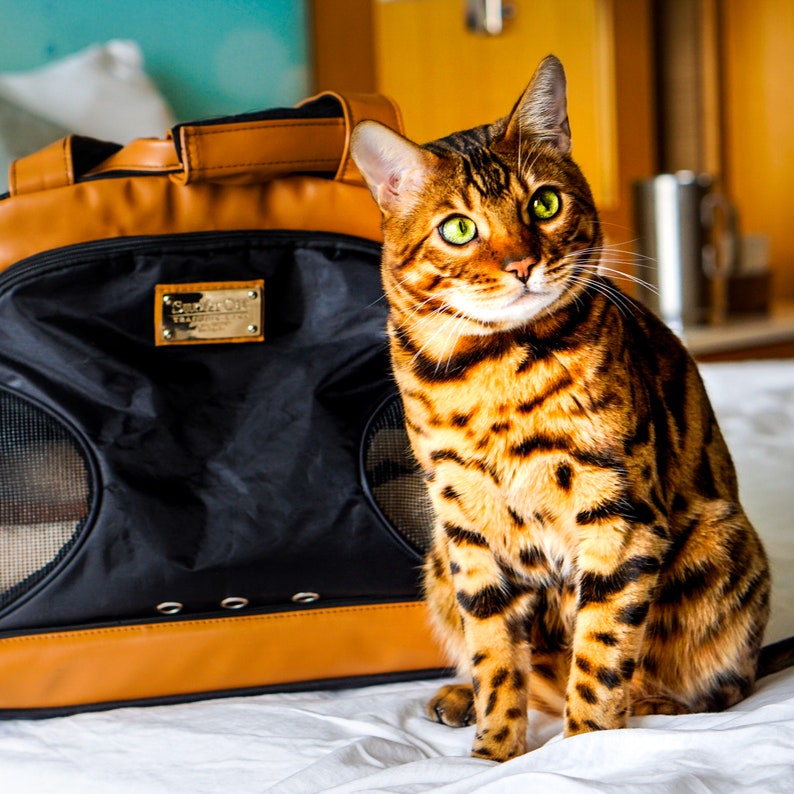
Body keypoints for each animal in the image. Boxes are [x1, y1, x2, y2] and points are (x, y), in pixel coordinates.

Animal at [348, 55, 768, 760]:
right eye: (458, 228)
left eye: (543, 203)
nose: (522, 264)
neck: (493, 372)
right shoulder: (464, 522)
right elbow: (494, 653)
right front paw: (494, 751)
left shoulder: (618, 514)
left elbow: (600, 655)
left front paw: (584, 749)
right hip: (435, 558)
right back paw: (457, 697)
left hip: (723, 542)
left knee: (714, 688)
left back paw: (653, 704)